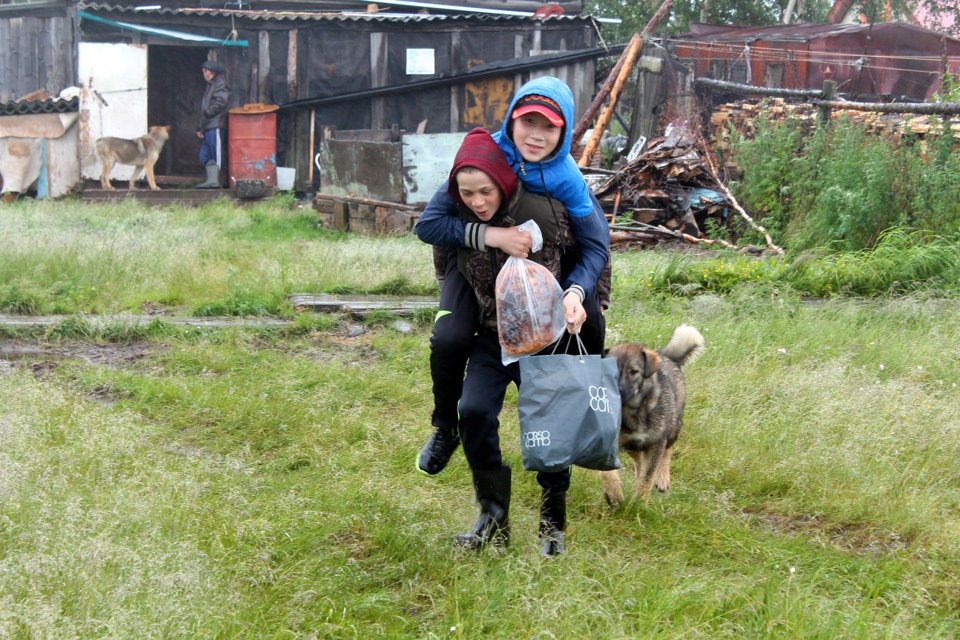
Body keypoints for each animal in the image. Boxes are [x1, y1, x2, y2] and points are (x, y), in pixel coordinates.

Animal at [600, 328, 704, 508]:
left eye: (634, 371)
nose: (617, 391)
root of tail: (666, 357)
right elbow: (609, 473)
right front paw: (615, 496)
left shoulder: (656, 443)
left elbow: (647, 478)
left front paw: (638, 505)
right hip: (632, 446)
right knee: (640, 463)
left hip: (672, 428)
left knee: (666, 451)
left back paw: (662, 478)